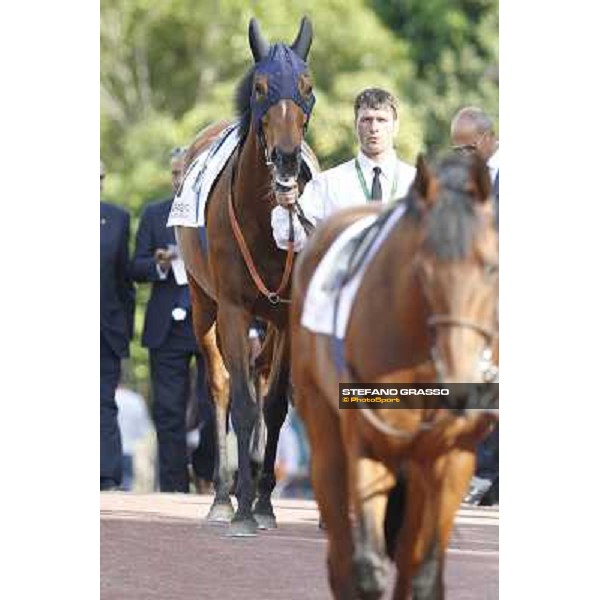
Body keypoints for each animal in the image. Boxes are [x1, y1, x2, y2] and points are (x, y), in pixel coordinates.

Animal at [175, 18, 318, 536]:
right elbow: (239, 402)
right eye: (260, 87)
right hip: (203, 305)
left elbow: (272, 406)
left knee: (258, 382)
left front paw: (264, 503)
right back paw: (223, 496)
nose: (287, 159)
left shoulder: (289, 313)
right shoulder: (234, 309)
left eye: (306, 86)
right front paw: (239, 510)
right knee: (220, 387)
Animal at [292, 155, 500, 600]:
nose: (461, 385)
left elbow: (423, 573)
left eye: (492, 267)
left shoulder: (451, 457)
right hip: (324, 436)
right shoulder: (370, 445)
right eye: (421, 270)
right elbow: (368, 570)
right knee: (341, 549)